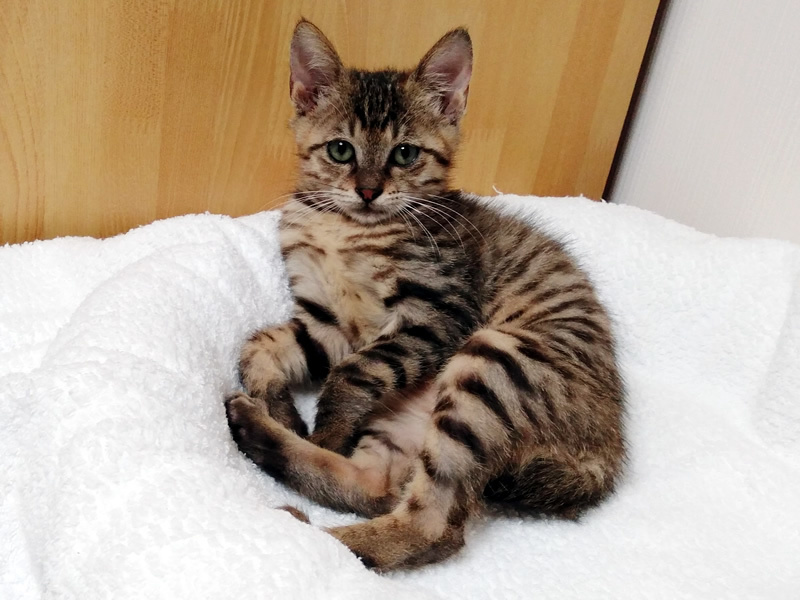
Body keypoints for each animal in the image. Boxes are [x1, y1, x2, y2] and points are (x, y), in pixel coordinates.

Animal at [225, 19, 625, 571]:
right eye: (341, 150)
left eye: (405, 154)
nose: (368, 190)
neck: (346, 226)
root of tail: (607, 450)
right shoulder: (326, 322)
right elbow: (259, 343)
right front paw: (283, 410)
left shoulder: (436, 311)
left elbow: (351, 373)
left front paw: (326, 431)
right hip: (404, 426)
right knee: (376, 487)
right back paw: (260, 433)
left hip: (494, 363)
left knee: (434, 527)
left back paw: (312, 537)